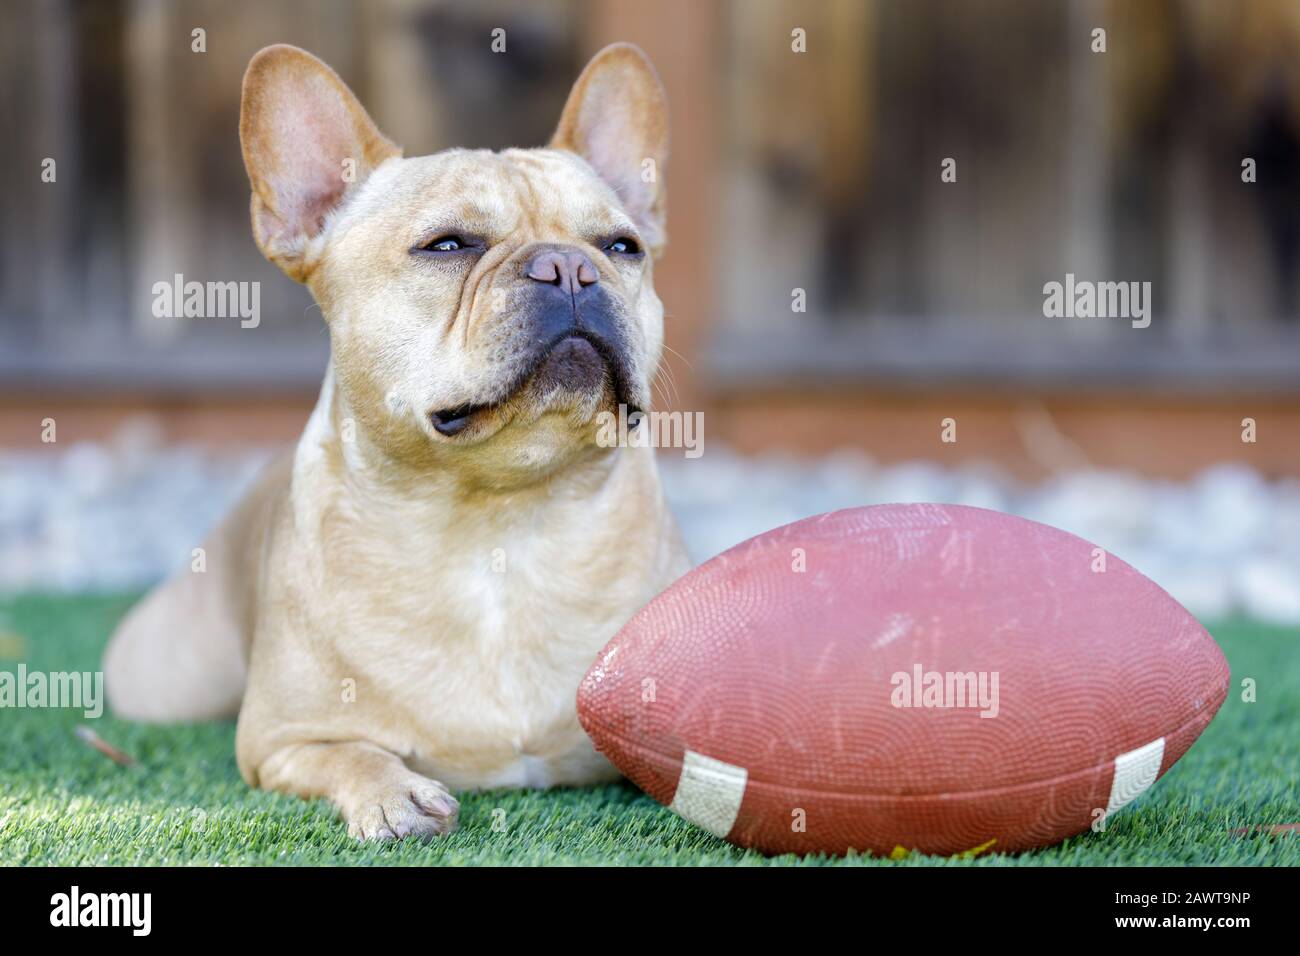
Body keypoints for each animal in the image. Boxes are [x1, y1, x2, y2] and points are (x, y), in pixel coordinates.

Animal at [102, 41, 691, 842]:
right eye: (447, 245)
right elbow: (350, 752)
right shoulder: (280, 743)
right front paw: (392, 792)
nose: (568, 266)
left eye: (622, 246)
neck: (500, 527)